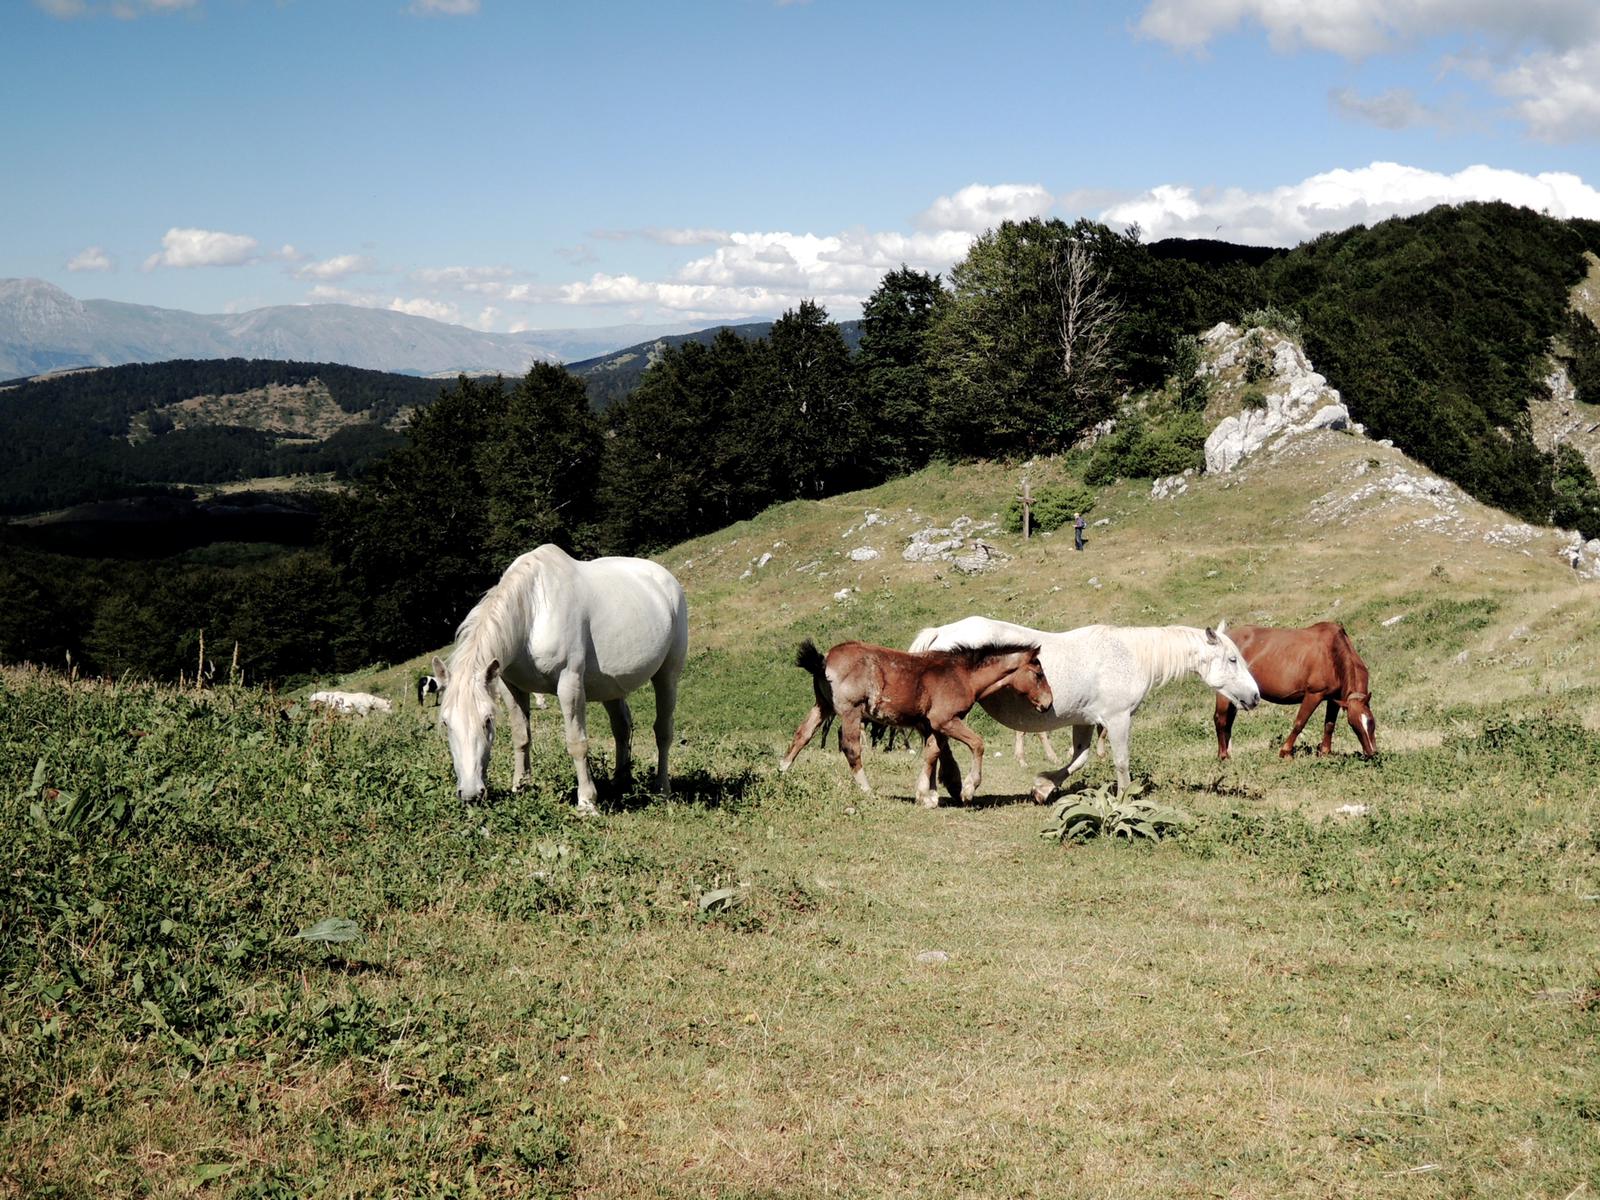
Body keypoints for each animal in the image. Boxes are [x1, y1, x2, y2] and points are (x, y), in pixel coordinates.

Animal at [432, 547, 688, 819]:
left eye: (487, 720)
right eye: (446, 722)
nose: (470, 794)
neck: (534, 611)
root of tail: (666, 580)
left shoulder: (569, 683)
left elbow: (577, 743)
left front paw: (587, 802)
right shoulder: (511, 688)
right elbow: (521, 737)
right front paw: (521, 787)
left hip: (667, 674)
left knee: (663, 730)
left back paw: (662, 789)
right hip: (611, 688)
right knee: (622, 728)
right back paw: (621, 782)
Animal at [780, 640, 1056, 809]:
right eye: (1039, 674)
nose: (1048, 702)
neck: (962, 675)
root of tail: (824, 660)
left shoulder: (931, 725)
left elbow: (932, 753)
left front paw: (928, 794)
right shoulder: (944, 720)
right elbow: (977, 744)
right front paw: (967, 789)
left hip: (822, 706)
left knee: (802, 735)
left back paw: (781, 772)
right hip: (851, 712)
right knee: (851, 749)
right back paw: (867, 789)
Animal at [915, 614, 1260, 803]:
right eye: (1233, 659)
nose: (1255, 696)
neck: (1129, 656)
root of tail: (941, 631)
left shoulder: (1083, 720)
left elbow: (1078, 759)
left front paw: (1042, 788)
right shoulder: (1118, 719)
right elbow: (1121, 761)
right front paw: (1124, 798)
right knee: (940, 744)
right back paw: (950, 787)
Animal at [1209, 620, 1376, 761]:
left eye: (1371, 721)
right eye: (1353, 724)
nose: (1372, 753)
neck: (1332, 653)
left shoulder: (1334, 699)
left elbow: (1329, 725)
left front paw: (1325, 752)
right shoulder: (1313, 694)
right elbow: (1300, 722)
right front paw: (1285, 752)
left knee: (1228, 721)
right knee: (1220, 719)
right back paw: (1223, 756)